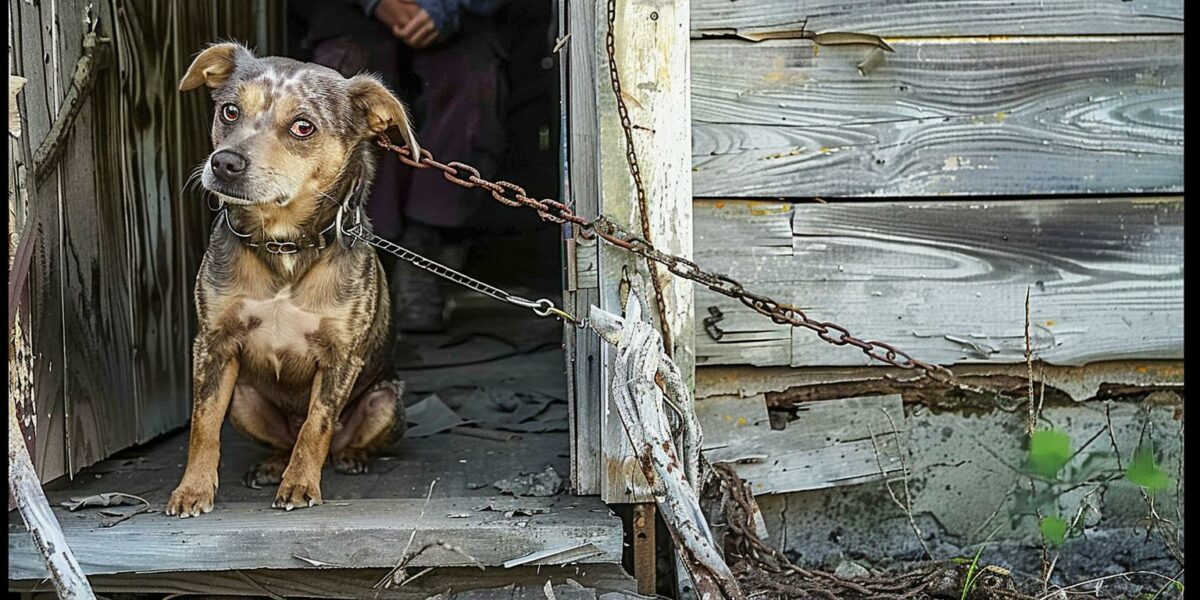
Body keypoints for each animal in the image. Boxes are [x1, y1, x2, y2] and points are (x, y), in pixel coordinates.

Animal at [164, 42, 417, 516]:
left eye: (303, 127)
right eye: (229, 111)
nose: (224, 162)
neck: (284, 245)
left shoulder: (340, 358)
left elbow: (316, 425)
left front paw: (300, 485)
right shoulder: (213, 343)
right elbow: (203, 425)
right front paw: (193, 489)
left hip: (386, 401)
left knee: (333, 440)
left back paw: (350, 456)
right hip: (243, 399)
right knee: (282, 439)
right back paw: (271, 465)